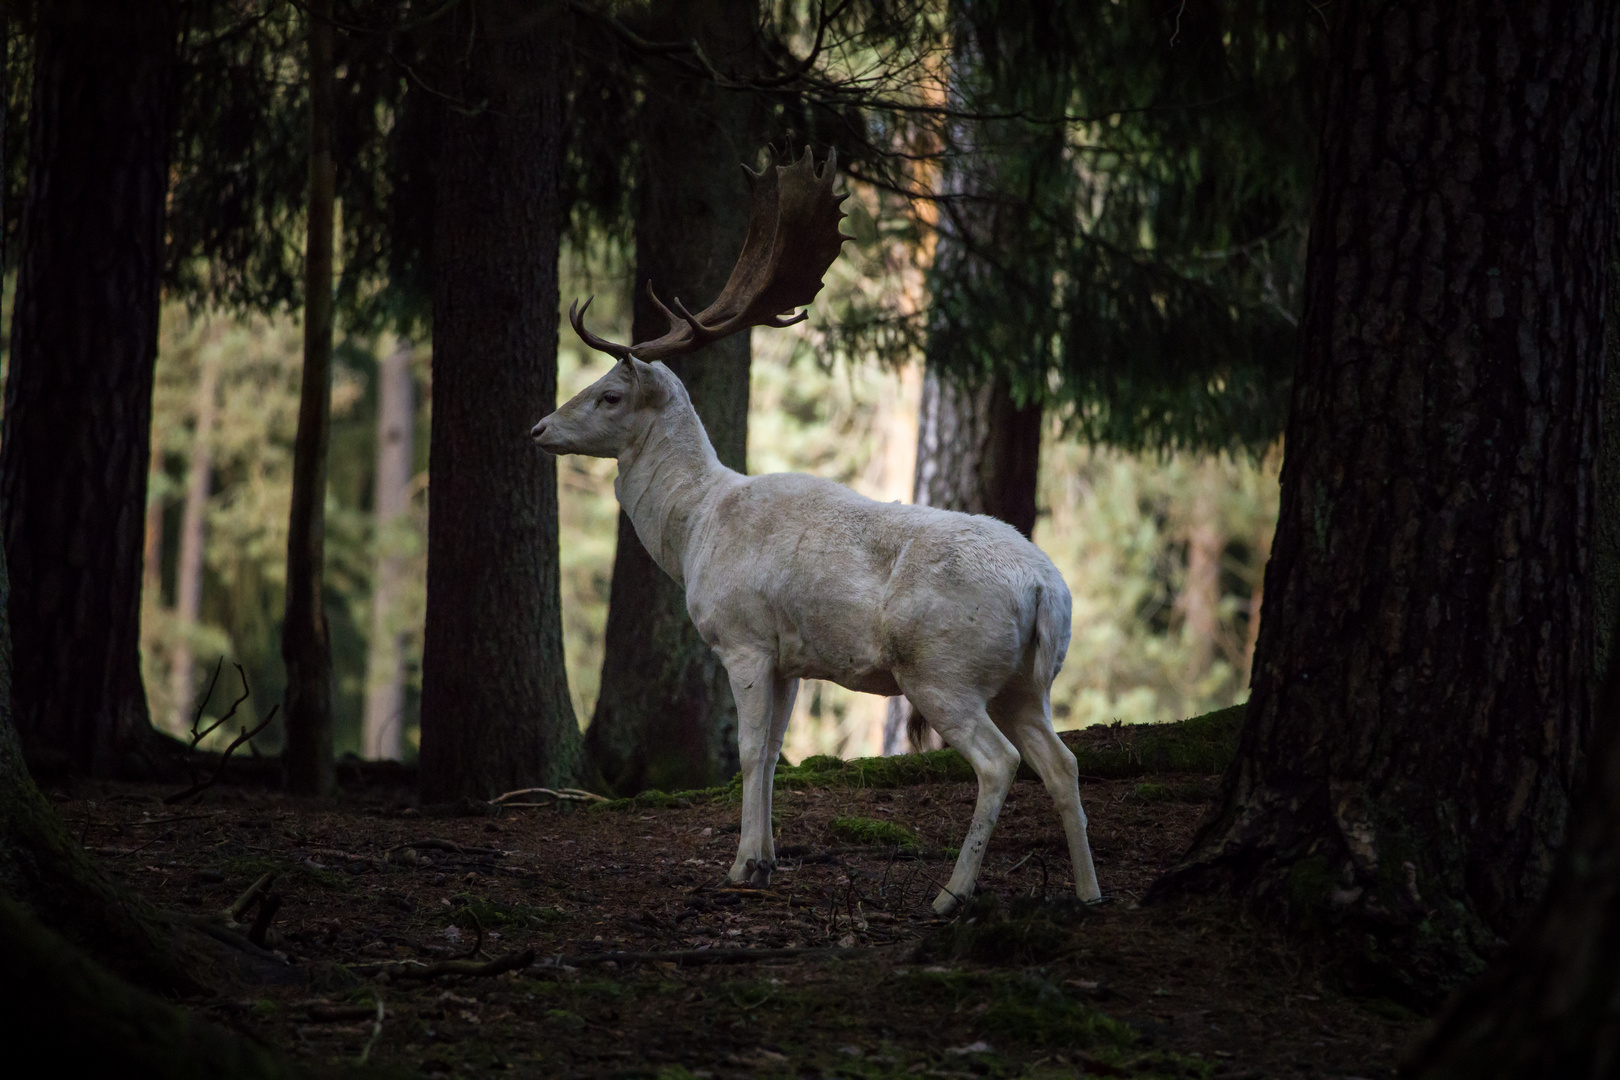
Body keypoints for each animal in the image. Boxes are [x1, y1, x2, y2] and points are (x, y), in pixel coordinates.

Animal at [531, 148, 1101, 919]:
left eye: (609, 394)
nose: (538, 429)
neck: (696, 527)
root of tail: (1047, 589)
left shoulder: (742, 637)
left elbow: (746, 751)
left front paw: (742, 865)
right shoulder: (792, 658)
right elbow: (774, 751)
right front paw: (769, 859)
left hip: (943, 669)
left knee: (999, 762)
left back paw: (950, 894)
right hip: (1026, 681)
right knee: (1063, 762)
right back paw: (1089, 893)